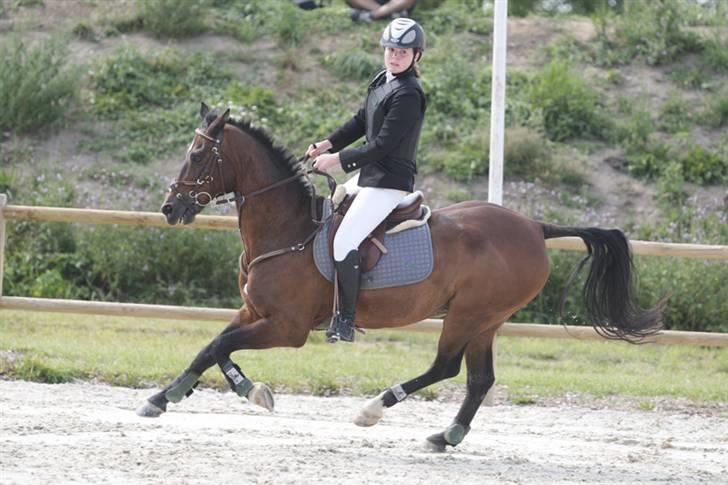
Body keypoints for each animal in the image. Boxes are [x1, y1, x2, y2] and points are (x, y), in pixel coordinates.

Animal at [136, 103, 664, 451]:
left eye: (198, 156)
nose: (170, 208)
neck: (288, 229)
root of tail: (535, 227)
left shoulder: (286, 328)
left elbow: (218, 345)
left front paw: (182, 396)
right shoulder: (253, 312)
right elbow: (214, 348)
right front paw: (188, 393)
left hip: (470, 314)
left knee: (447, 368)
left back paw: (375, 409)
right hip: (486, 320)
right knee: (479, 379)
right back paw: (446, 436)